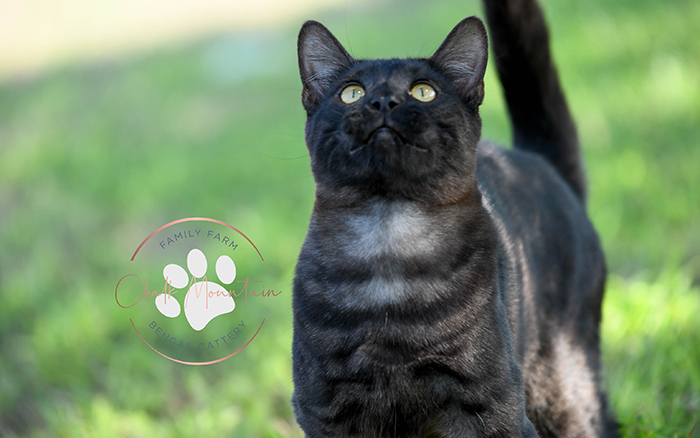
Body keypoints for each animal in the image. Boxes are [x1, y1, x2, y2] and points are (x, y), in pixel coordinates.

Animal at [292, 0, 620, 436]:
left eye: (424, 91)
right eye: (351, 93)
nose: (383, 102)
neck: (389, 239)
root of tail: (538, 162)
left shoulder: (493, 405)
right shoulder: (325, 408)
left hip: (564, 385)